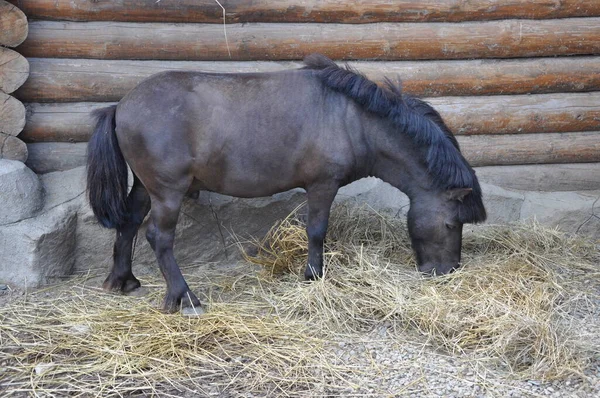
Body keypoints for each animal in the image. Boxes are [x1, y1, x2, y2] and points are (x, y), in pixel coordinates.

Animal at [86, 53, 486, 314]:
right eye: (451, 224)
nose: (446, 271)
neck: (352, 118)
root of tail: (120, 106)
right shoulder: (323, 185)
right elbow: (317, 231)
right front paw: (314, 276)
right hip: (167, 193)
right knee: (158, 237)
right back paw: (183, 298)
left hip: (145, 187)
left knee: (128, 225)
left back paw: (122, 281)